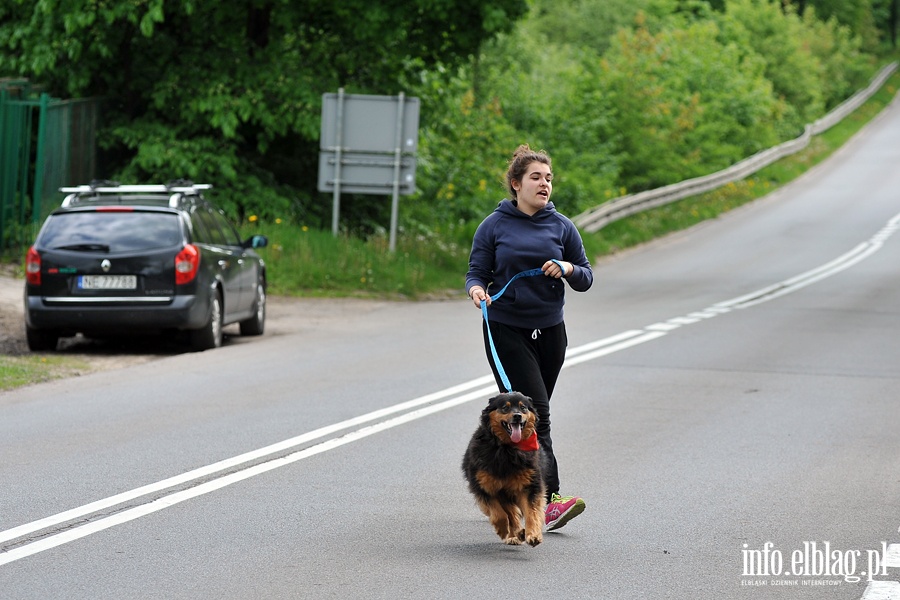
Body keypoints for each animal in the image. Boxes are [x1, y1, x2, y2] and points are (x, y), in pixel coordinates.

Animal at [460, 392, 544, 548]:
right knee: (509, 513)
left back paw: (519, 533)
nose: (517, 416)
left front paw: (533, 535)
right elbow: (499, 514)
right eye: (505, 407)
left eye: (523, 407)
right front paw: (503, 529)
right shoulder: (484, 486)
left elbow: (531, 512)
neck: (506, 449)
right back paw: (514, 534)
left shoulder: (529, 485)